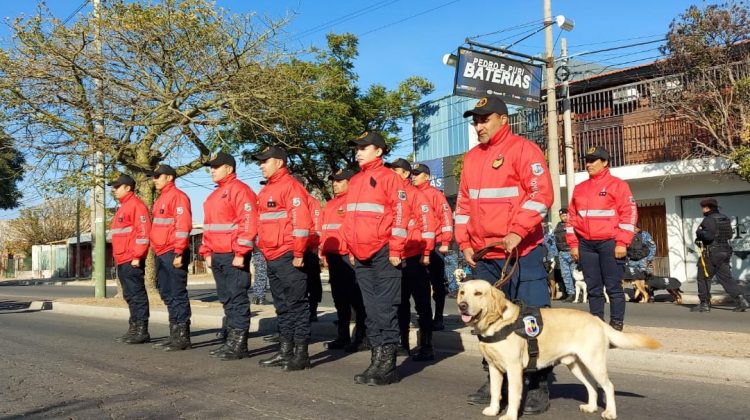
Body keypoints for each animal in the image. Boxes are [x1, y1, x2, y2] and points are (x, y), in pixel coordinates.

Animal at [458, 278, 664, 420]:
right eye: (462, 292)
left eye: (478, 293)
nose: (462, 306)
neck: (496, 323)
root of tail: (596, 319)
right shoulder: (494, 368)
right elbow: (495, 391)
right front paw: (493, 410)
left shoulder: (514, 368)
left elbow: (514, 395)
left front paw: (509, 415)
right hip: (575, 364)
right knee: (592, 386)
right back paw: (591, 407)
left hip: (594, 362)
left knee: (608, 386)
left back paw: (610, 412)